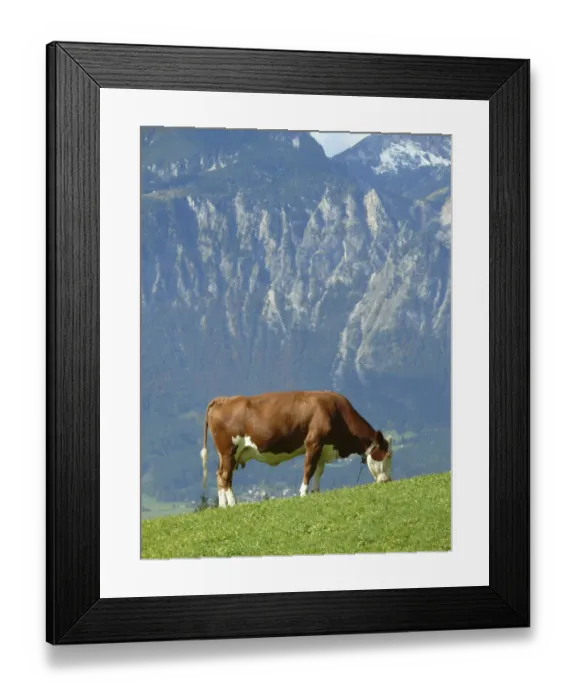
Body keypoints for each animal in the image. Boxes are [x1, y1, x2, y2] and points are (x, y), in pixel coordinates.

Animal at [199, 390, 393, 508]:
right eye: (387, 455)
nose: (388, 481)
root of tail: (223, 399)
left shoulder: (324, 447)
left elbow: (319, 470)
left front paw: (315, 492)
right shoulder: (313, 442)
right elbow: (309, 468)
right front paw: (303, 493)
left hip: (226, 454)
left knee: (220, 475)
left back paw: (223, 505)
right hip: (228, 450)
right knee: (226, 476)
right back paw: (233, 503)